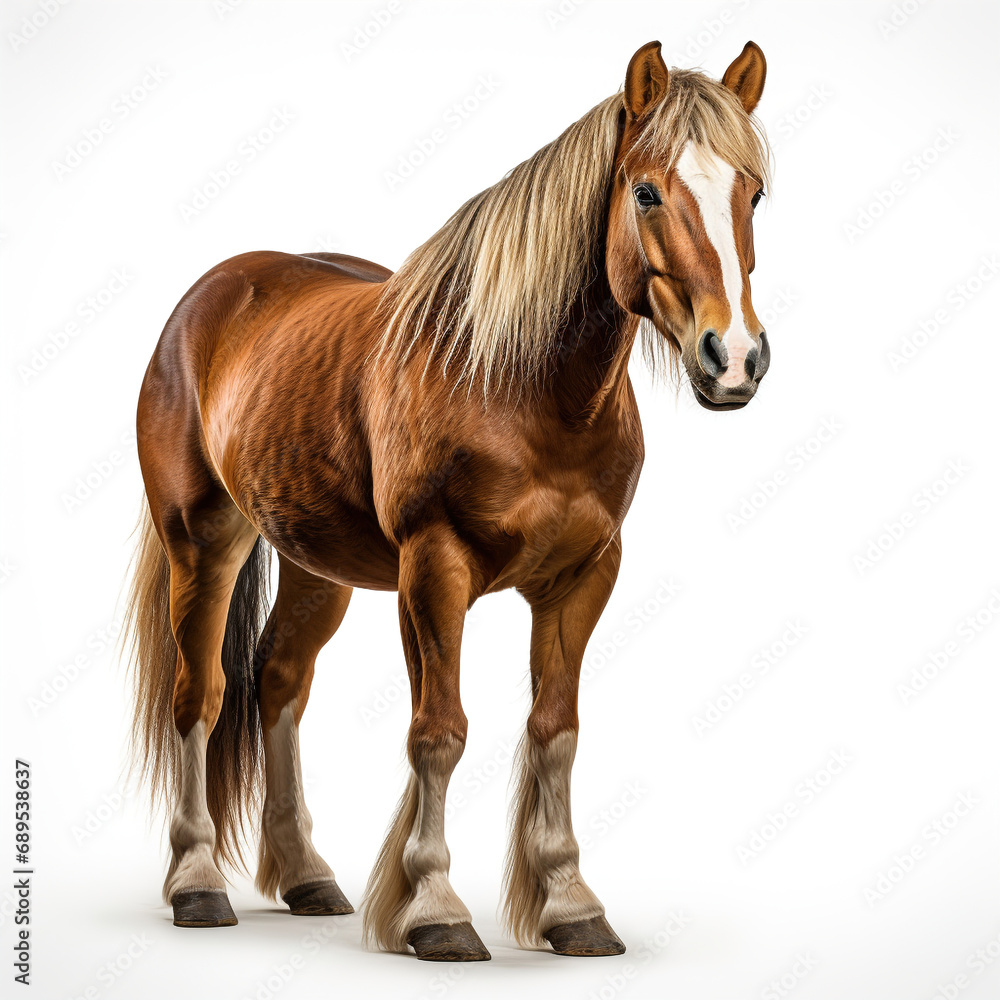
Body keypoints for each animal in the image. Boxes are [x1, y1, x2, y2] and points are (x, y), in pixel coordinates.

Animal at [124, 39, 771, 962]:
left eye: (754, 194)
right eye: (647, 191)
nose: (735, 359)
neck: (523, 386)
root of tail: (212, 296)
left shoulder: (585, 575)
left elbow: (555, 729)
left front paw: (570, 904)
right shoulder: (436, 570)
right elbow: (439, 731)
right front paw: (434, 908)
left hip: (318, 564)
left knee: (279, 681)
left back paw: (307, 876)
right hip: (202, 541)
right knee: (200, 695)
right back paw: (196, 883)